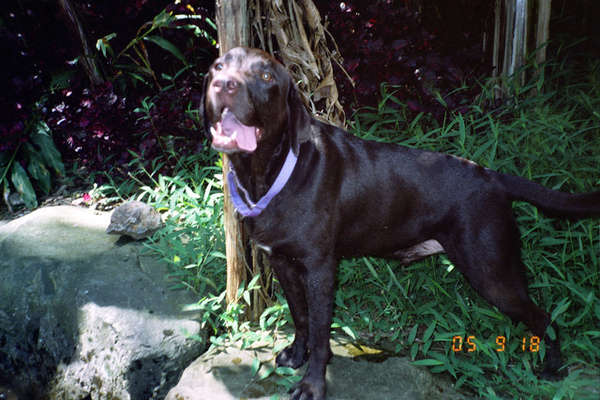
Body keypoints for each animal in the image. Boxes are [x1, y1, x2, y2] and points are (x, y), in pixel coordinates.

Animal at [203, 47, 600, 400]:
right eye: (218, 65)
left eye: (267, 76)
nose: (223, 84)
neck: (270, 173)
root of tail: (492, 176)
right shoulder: (282, 262)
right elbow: (300, 318)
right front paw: (296, 356)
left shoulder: (319, 270)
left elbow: (319, 333)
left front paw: (313, 386)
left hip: (492, 274)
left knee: (546, 317)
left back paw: (553, 370)